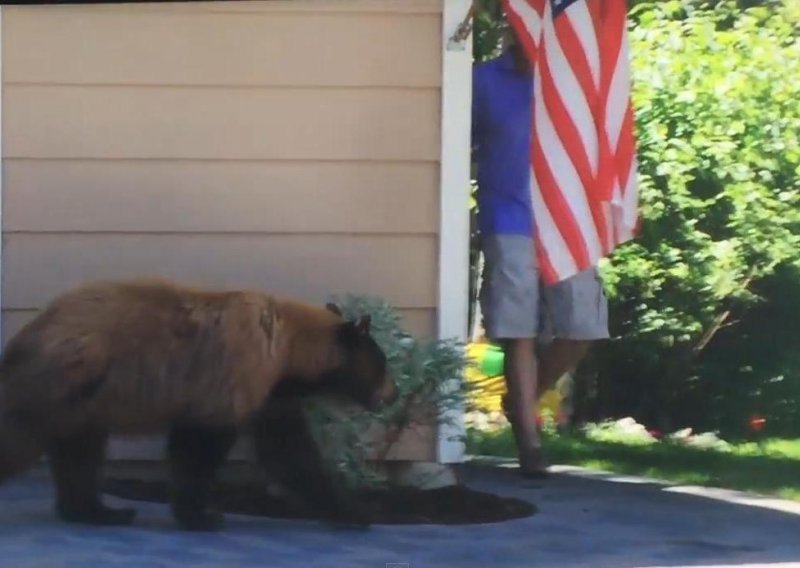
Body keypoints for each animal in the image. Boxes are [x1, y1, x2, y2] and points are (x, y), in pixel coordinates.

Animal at [0, 278, 398, 532]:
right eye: (383, 364)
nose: (393, 394)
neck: (287, 349)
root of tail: (29, 331)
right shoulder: (233, 376)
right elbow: (198, 447)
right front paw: (201, 516)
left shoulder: (271, 395)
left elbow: (290, 453)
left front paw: (355, 511)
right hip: (60, 383)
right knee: (21, 435)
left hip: (82, 404)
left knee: (79, 454)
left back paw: (100, 511)